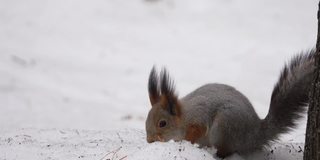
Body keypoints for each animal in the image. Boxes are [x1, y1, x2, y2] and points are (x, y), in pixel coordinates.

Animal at [146, 49, 318, 158]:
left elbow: (197, 130)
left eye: (162, 123)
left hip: (224, 127)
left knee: (228, 150)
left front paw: (186, 141)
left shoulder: (198, 119)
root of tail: (254, 134)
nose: (149, 141)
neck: (183, 117)